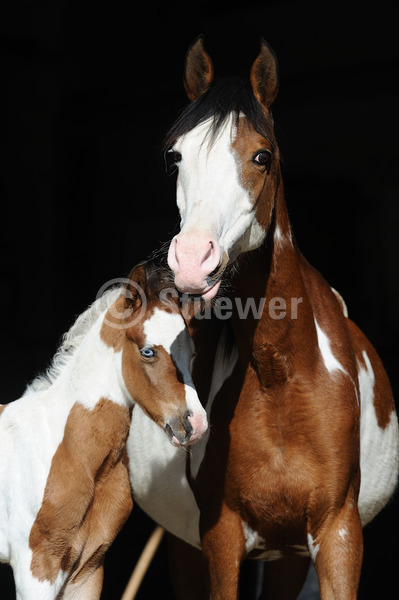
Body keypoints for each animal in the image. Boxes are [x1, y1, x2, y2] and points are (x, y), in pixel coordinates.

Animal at [128, 38, 399, 600]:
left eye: (262, 156)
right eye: (175, 156)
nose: (191, 259)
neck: (282, 375)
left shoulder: (338, 534)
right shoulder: (220, 537)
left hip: (288, 556)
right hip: (187, 546)